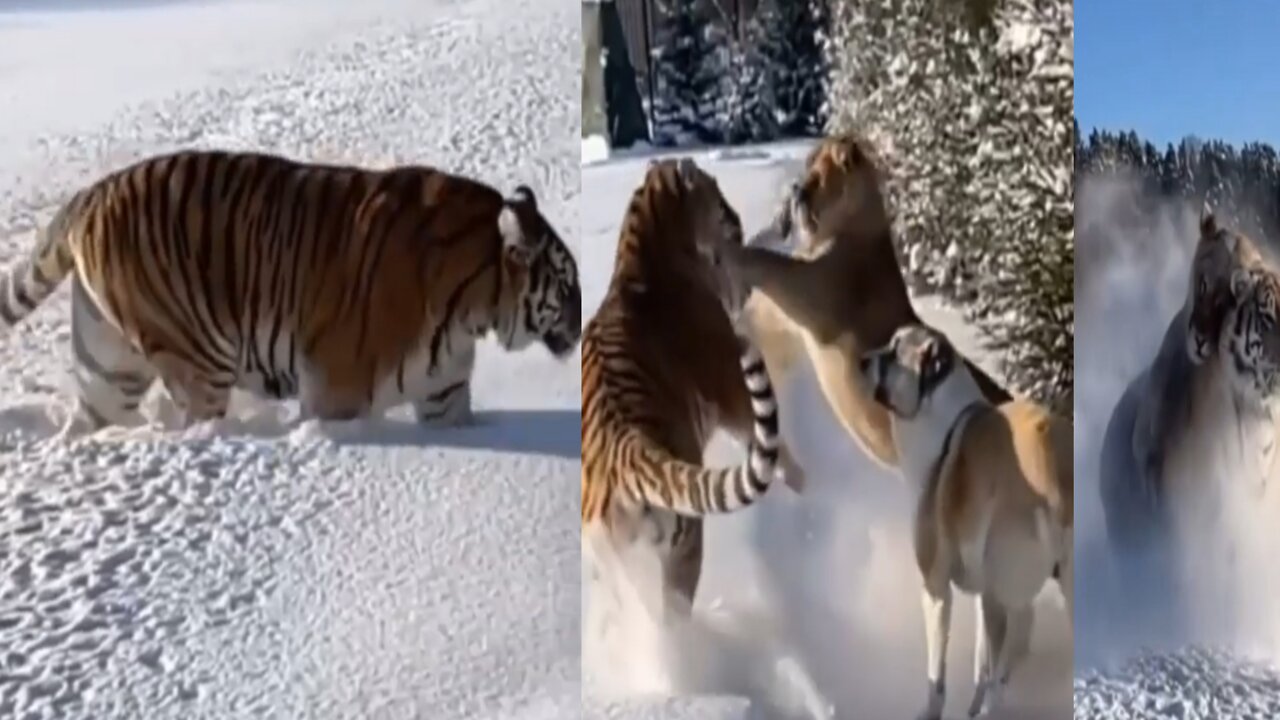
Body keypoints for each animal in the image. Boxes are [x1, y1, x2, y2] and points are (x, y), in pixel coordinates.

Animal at [0, 148, 581, 435]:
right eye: (567, 284)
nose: (580, 326)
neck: (473, 309)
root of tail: (93, 192)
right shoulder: (337, 387)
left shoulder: (444, 392)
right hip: (198, 357)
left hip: (109, 368)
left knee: (92, 423)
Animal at [583, 156, 803, 617]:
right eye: (715, 190)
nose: (735, 218)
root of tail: (627, 451)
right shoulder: (734, 387)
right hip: (685, 547)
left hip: (617, 573)